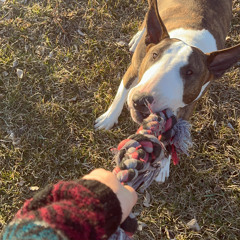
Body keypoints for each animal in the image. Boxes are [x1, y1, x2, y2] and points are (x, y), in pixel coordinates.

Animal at [94, 0, 240, 180]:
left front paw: (164, 164)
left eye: (189, 72)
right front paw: (108, 118)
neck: (189, 39)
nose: (140, 100)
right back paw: (138, 37)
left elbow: (173, 134)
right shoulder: (134, 69)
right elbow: (121, 93)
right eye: (155, 55)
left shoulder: (188, 105)